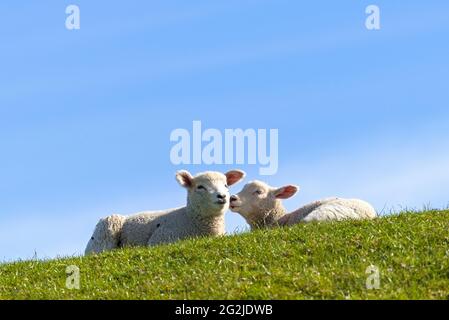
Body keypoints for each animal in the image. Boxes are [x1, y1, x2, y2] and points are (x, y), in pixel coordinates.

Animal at [84, 169, 245, 254]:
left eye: (226, 185)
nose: (222, 196)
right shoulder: (160, 239)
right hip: (107, 228)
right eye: (200, 187)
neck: (189, 218)